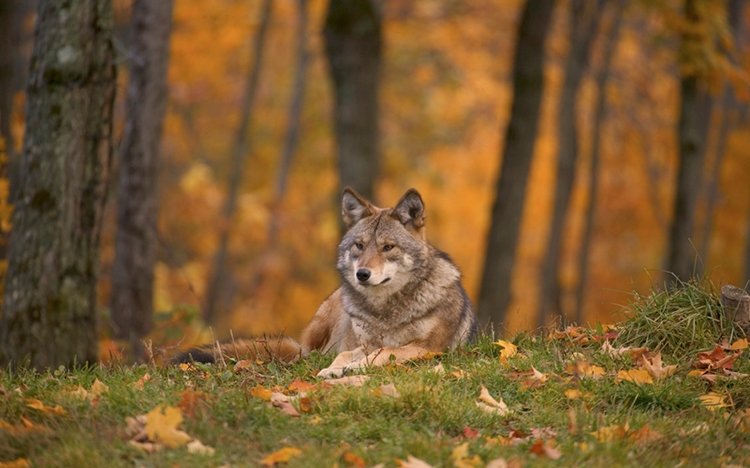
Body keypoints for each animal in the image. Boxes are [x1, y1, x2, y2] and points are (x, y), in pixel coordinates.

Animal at [177, 187, 477, 378]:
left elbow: (385, 351)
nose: (362, 274)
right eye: (359, 245)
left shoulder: (427, 349)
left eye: (388, 247)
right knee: (307, 354)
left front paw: (354, 368)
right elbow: (346, 355)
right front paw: (335, 369)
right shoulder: (362, 345)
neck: (384, 312)